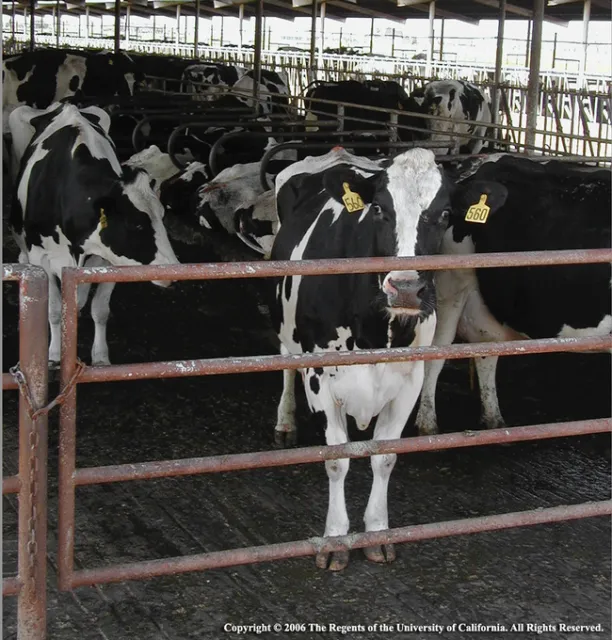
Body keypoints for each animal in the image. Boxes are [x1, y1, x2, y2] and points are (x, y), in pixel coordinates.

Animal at [8, 102, 179, 368]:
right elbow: (54, 310)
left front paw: (100, 358)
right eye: (134, 224)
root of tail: (65, 105)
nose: (173, 271)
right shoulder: (42, 259)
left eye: (162, 216)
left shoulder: (110, 260)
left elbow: (99, 309)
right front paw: (54, 355)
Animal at [269, 146, 497, 570]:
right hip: (285, 327)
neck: (375, 331)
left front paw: (377, 532)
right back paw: (285, 419)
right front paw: (336, 539)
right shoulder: (320, 376)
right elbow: (337, 459)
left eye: (445, 213)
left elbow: (385, 457)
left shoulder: (409, 381)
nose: (406, 288)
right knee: (285, 365)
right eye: (378, 208)